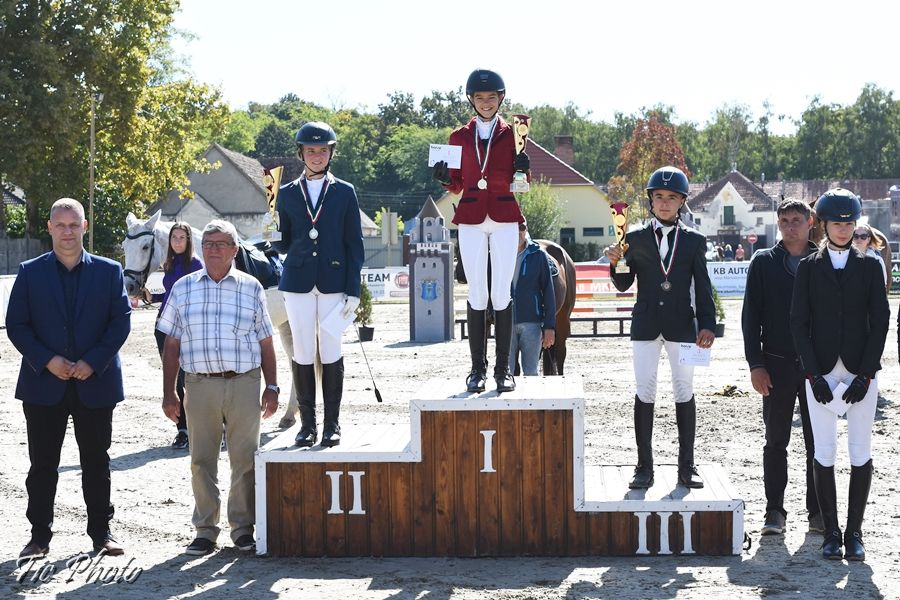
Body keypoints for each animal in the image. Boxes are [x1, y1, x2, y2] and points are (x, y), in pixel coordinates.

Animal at [121, 211, 303, 428]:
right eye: (124, 245)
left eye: (145, 246)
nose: (129, 286)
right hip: (287, 324)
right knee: (295, 360)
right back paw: (290, 413)